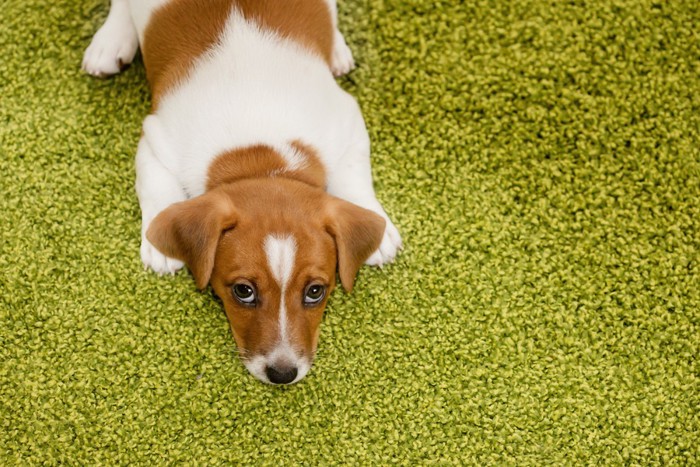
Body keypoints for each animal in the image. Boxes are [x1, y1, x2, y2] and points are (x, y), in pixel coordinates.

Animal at [81, 0, 400, 386]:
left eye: (315, 291)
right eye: (243, 291)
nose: (283, 374)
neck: (260, 154)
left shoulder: (346, 120)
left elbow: (355, 176)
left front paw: (379, 229)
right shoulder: (156, 139)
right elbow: (156, 189)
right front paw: (160, 243)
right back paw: (111, 40)